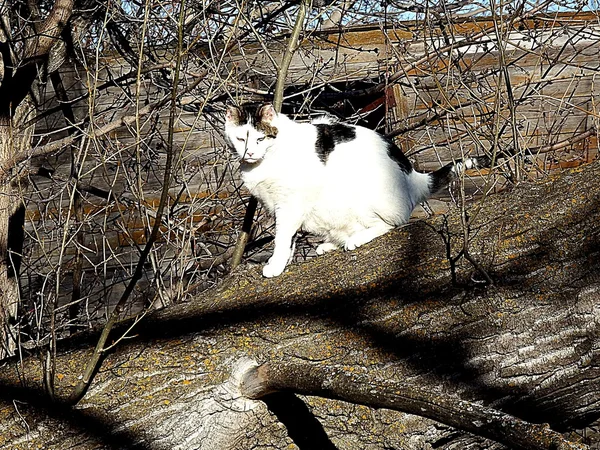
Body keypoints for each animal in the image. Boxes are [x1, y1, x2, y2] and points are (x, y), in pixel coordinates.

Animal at [223, 103, 490, 278]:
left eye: (260, 139)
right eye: (240, 139)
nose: (249, 152)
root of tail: (413, 176)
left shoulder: (291, 203)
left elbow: (282, 237)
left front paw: (276, 264)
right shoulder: (282, 207)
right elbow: (289, 237)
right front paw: (284, 260)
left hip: (366, 199)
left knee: (393, 224)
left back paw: (356, 240)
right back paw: (331, 244)